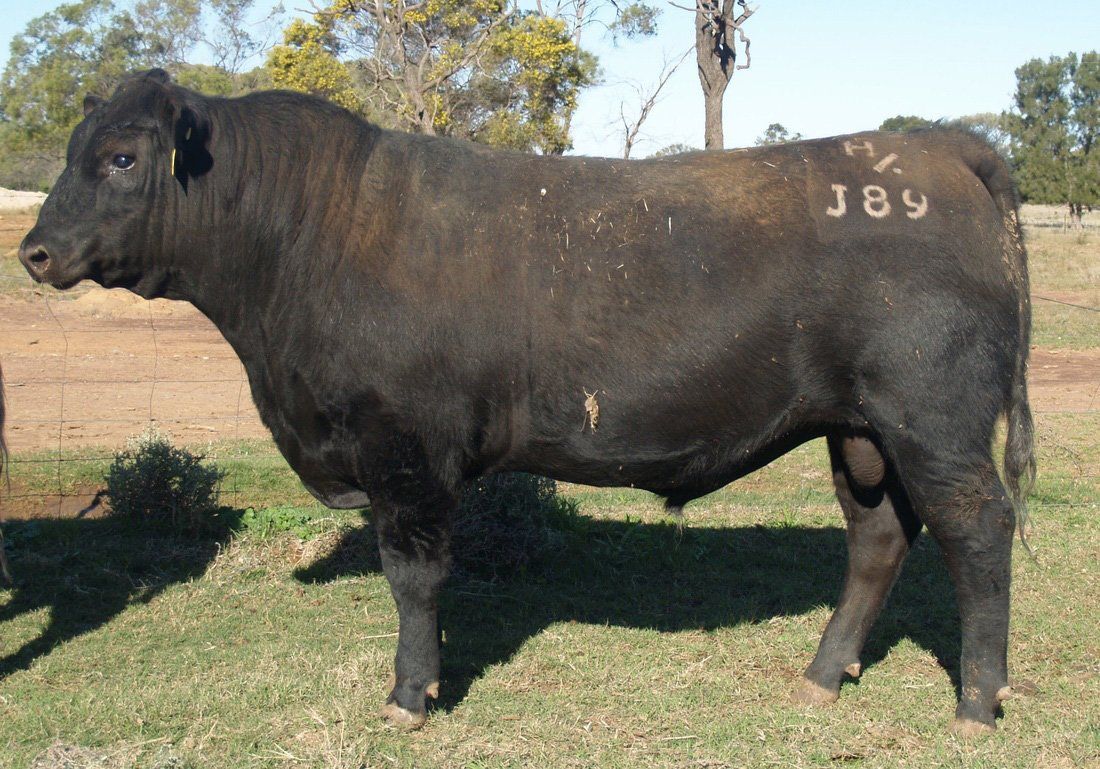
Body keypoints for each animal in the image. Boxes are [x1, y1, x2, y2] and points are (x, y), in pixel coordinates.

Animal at [19, 69, 1035, 736]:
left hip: (934, 420)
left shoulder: (406, 453)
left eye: (121, 157)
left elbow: (414, 576)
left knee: (978, 529)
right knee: (879, 537)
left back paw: (976, 703)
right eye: (73, 152)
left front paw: (410, 697)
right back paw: (822, 676)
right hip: (860, 431)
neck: (313, 233)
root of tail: (937, 145)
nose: (34, 250)